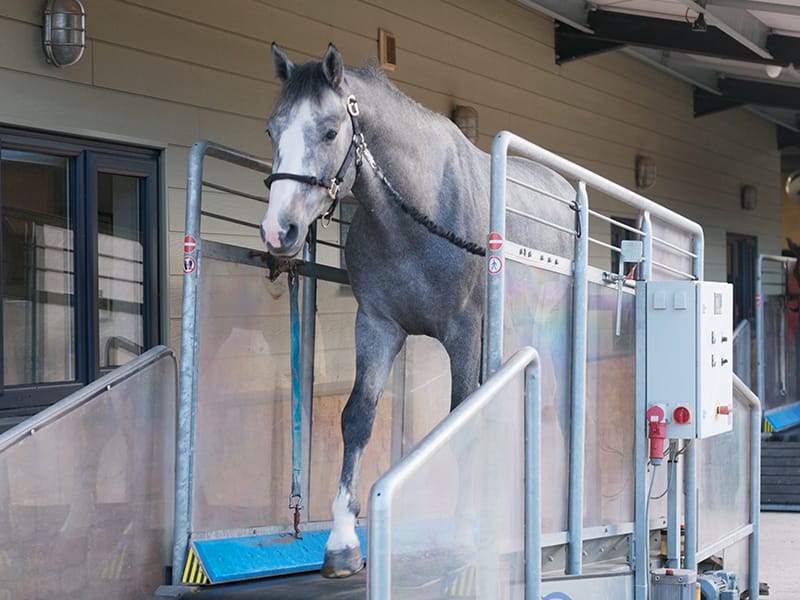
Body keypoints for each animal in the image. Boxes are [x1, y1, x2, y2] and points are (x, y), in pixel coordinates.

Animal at [260, 41, 572, 576]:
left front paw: (466, 538)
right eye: (272, 130)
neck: (419, 215)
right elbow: (357, 417)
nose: (279, 231)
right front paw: (342, 542)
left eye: (330, 131)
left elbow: (462, 420)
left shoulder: (465, 332)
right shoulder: (377, 326)